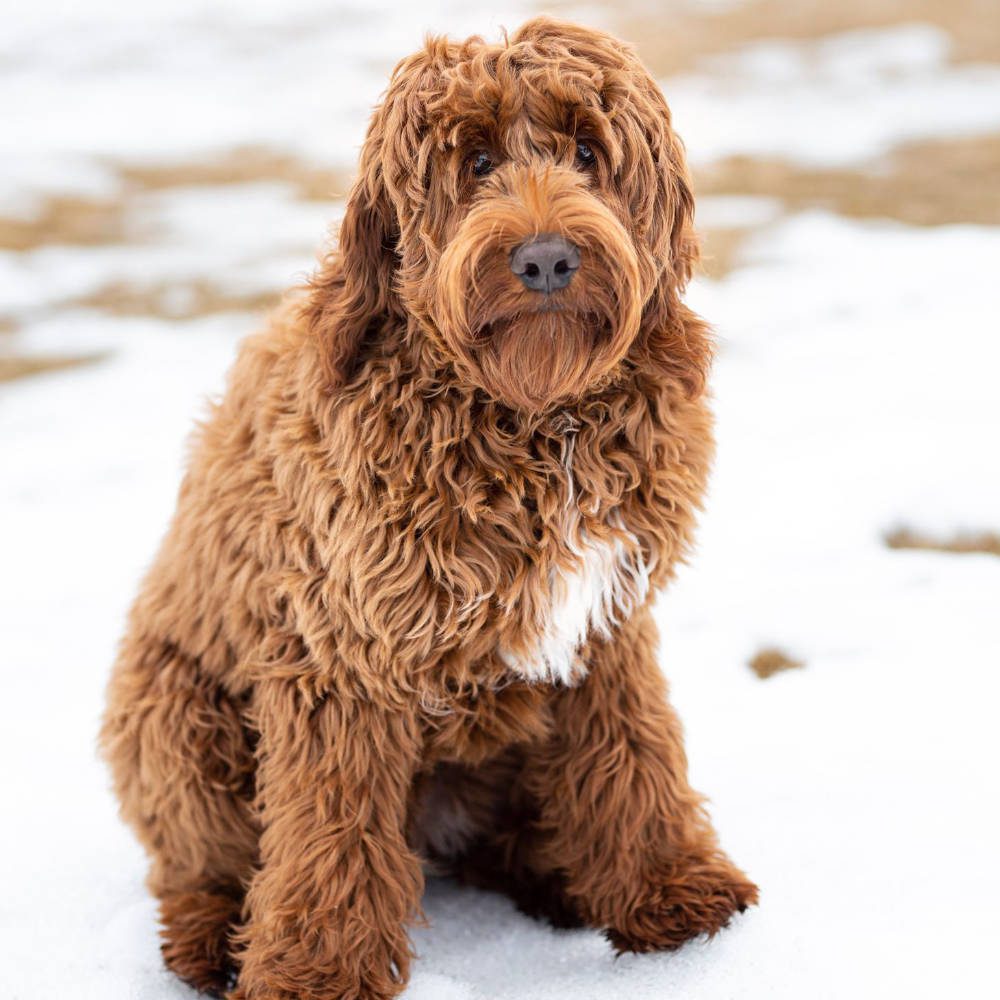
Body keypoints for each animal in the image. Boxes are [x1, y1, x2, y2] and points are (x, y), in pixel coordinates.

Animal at [101, 17, 756, 1000]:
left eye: (586, 150)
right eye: (474, 159)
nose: (546, 259)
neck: (530, 420)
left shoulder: (606, 620)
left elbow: (632, 753)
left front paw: (670, 894)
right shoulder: (338, 651)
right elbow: (329, 834)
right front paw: (316, 974)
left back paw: (554, 878)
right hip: (172, 717)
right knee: (200, 860)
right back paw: (214, 937)